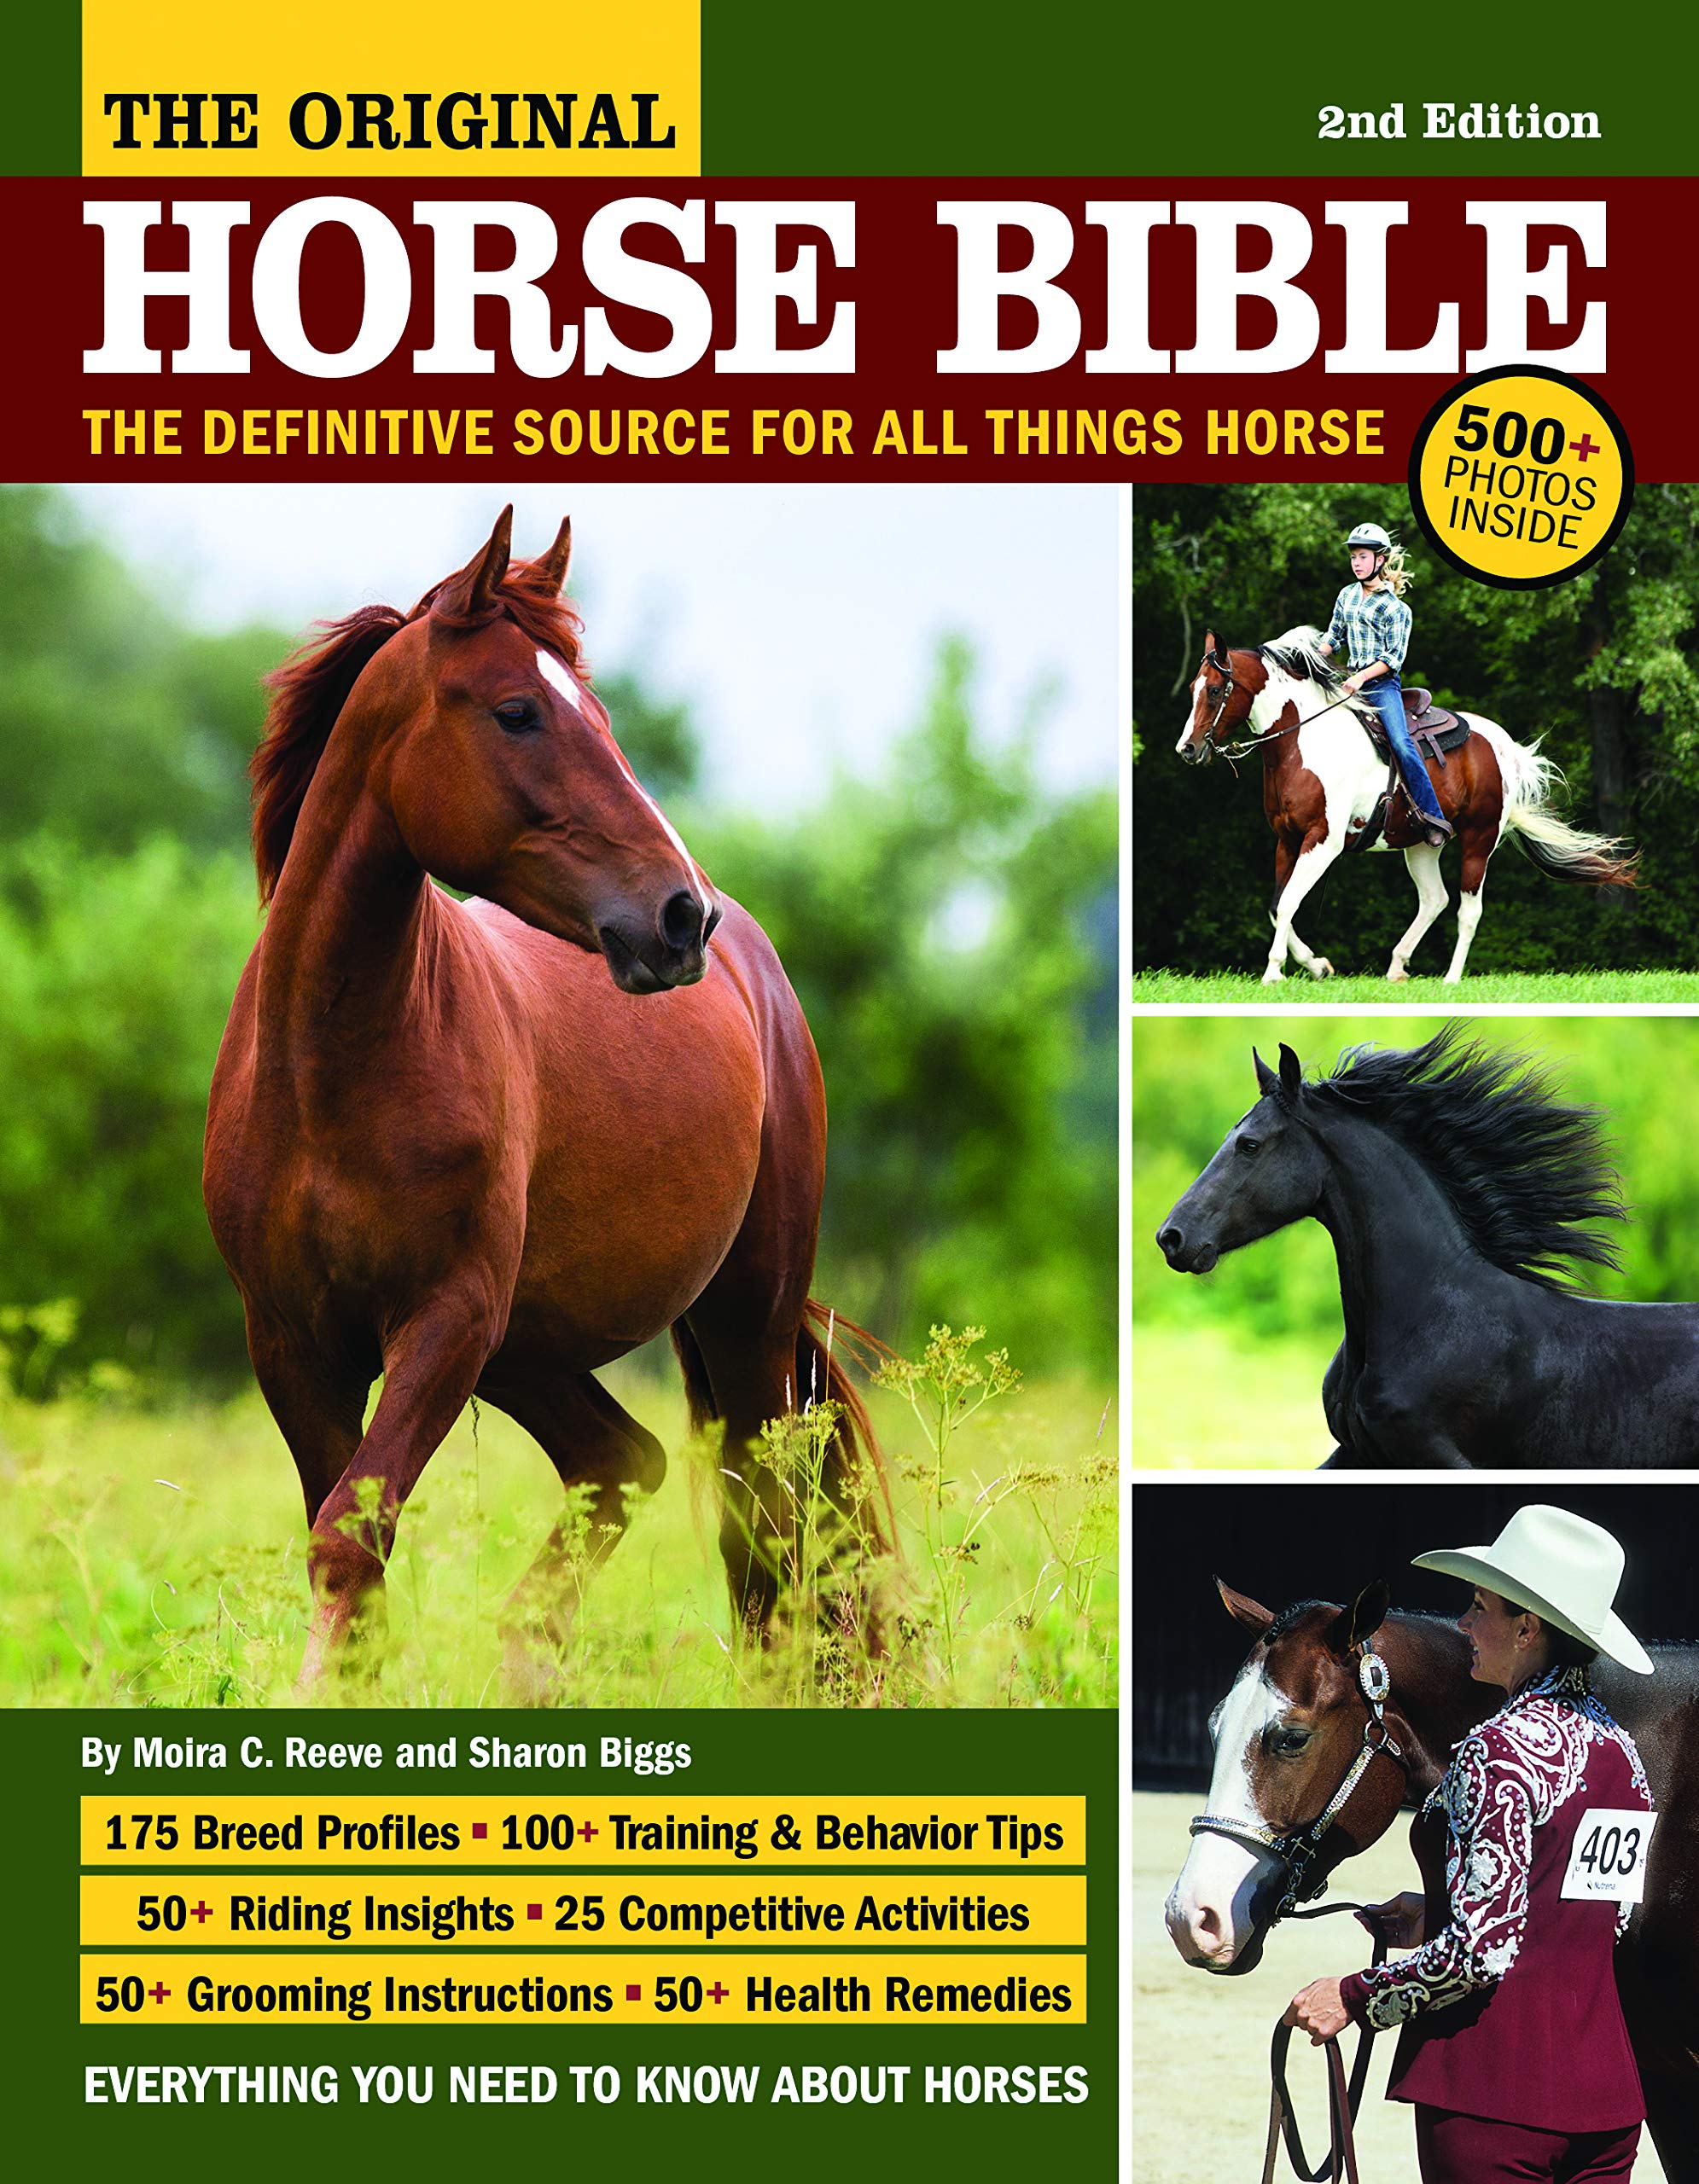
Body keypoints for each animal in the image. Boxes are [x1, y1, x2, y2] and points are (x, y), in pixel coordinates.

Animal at [203, 508, 884, 1696]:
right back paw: (531, 1662)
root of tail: (757, 974)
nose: (678, 917)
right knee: (626, 1463)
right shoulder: (292, 1344)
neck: (330, 1075)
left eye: (596, 713)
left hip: (736, 1320)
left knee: (764, 1518)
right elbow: (350, 1551)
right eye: (517, 711)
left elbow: (351, 1537)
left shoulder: (443, 1322)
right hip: (532, 1349)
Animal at [1174, 626, 1637, 985]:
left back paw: (1451, 978)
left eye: (1214, 690)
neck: (1302, 742)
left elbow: (1289, 901)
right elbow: (1276, 906)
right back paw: (1397, 966)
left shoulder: (1323, 841)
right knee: (1435, 899)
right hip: (1421, 844)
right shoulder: (1287, 840)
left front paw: (1274, 972)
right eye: (1194, 688)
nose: (1187, 749)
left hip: (1479, 839)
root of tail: (1505, 747)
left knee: (1469, 909)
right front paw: (1318, 966)